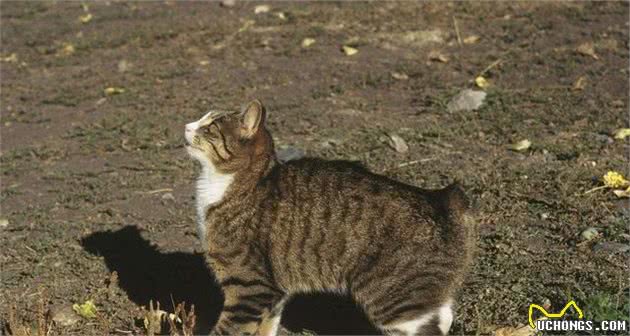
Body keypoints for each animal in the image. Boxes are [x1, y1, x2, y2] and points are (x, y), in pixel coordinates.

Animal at [185, 100, 476, 336]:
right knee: (445, 317)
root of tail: (441, 199)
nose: (187, 126)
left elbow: (227, 329)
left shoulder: (250, 287)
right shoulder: (275, 291)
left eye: (210, 127)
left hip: (395, 303)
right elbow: (265, 329)